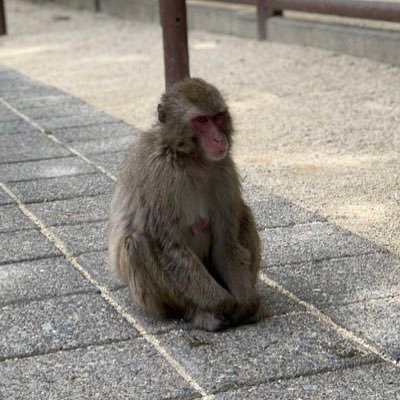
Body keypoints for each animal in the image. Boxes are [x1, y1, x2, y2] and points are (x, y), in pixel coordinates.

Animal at [108, 78, 262, 332]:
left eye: (218, 117)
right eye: (201, 120)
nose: (218, 138)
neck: (191, 159)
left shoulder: (225, 171)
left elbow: (226, 244)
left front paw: (246, 303)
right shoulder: (161, 175)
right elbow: (170, 247)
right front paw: (225, 304)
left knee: (245, 214)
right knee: (137, 243)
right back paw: (198, 313)